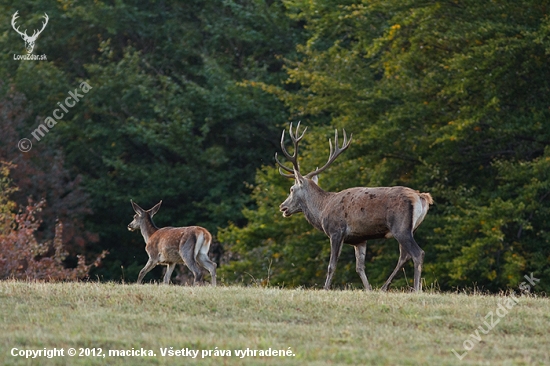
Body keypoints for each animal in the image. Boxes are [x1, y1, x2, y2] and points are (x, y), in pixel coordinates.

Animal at [278, 123, 434, 292]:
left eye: (291, 189)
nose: (282, 207)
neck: (322, 210)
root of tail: (421, 197)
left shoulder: (336, 231)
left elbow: (331, 265)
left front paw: (325, 289)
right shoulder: (359, 239)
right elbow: (360, 268)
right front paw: (368, 289)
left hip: (400, 226)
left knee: (417, 253)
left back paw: (416, 289)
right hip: (412, 228)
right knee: (404, 256)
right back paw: (384, 287)